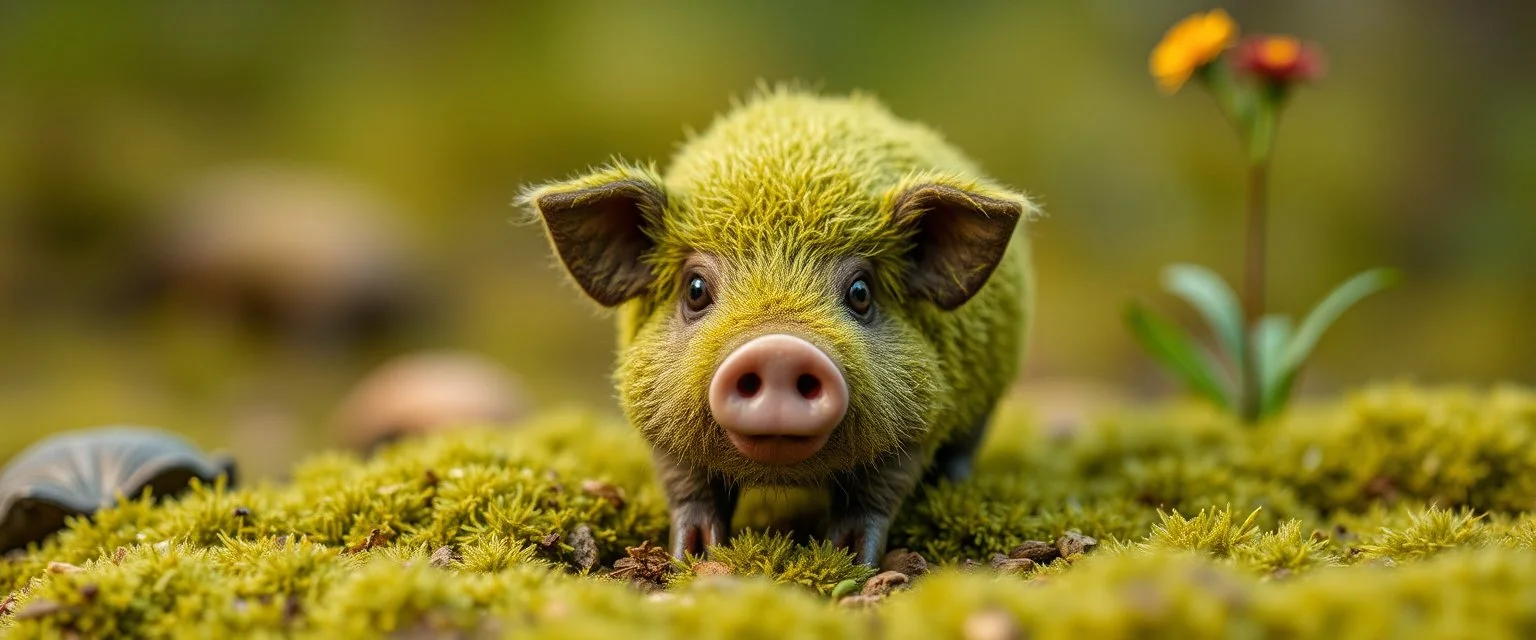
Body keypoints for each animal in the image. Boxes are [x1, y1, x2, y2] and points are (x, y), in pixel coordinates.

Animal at [522, 88, 1035, 565]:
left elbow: (874, 499)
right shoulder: (658, 417)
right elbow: (689, 491)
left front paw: (852, 560)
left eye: (861, 293)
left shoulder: (918, 421)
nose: (780, 351)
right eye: (695, 289)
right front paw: (694, 557)